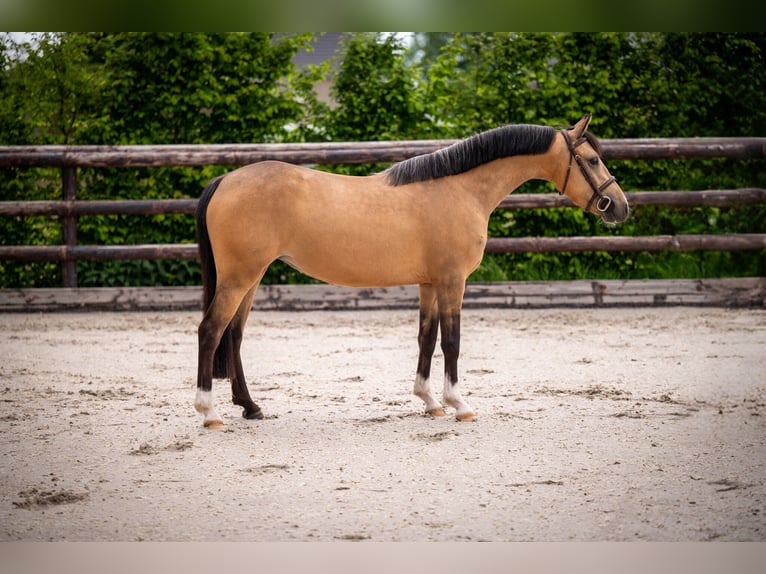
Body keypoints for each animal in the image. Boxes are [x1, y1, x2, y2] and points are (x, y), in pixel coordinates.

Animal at [194, 113, 632, 428]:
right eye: (592, 159)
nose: (620, 206)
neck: (459, 190)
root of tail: (225, 179)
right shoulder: (453, 281)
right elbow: (451, 341)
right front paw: (459, 404)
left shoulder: (429, 283)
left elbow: (426, 337)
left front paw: (429, 401)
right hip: (240, 277)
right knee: (211, 330)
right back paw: (209, 413)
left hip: (251, 276)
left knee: (234, 335)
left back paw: (250, 407)